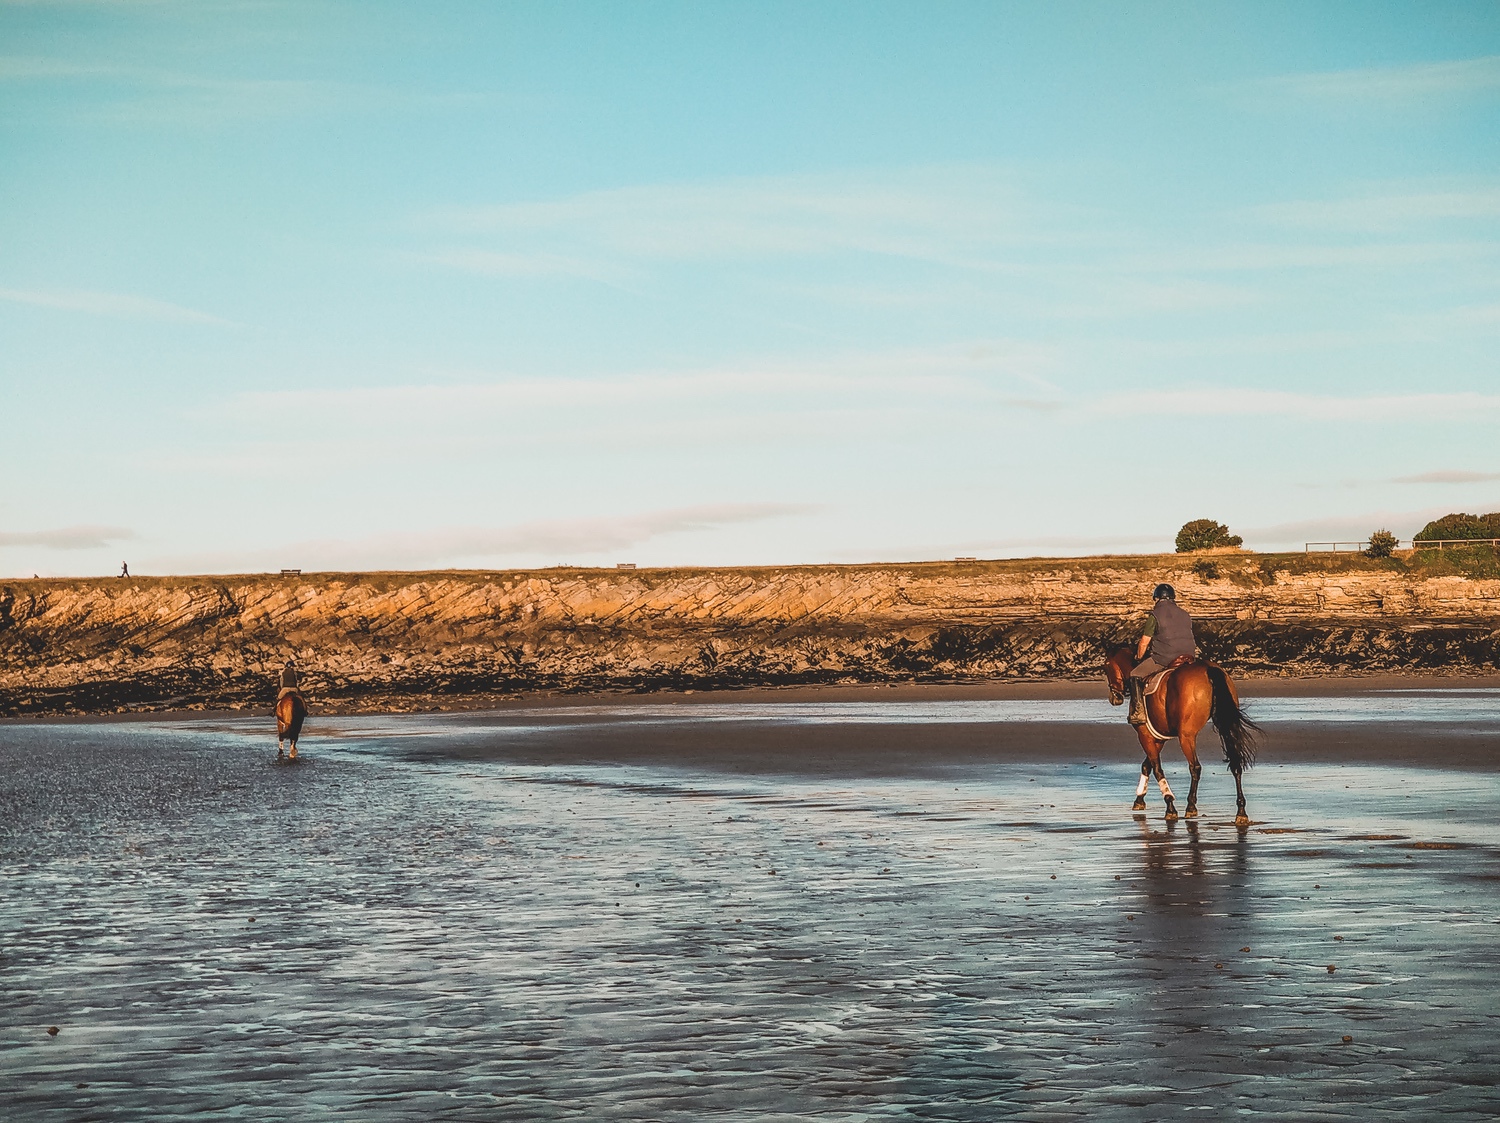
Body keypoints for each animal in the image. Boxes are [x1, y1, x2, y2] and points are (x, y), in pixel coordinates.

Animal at [1104, 647, 1254, 821]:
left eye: (1106, 667)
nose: (1114, 698)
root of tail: (1208, 669)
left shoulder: (1145, 736)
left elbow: (1157, 769)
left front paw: (1169, 805)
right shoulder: (1158, 739)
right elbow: (1147, 765)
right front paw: (1139, 799)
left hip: (1186, 736)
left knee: (1195, 767)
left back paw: (1191, 806)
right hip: (1225, 725)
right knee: (1235, 764)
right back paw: (1241, 811)